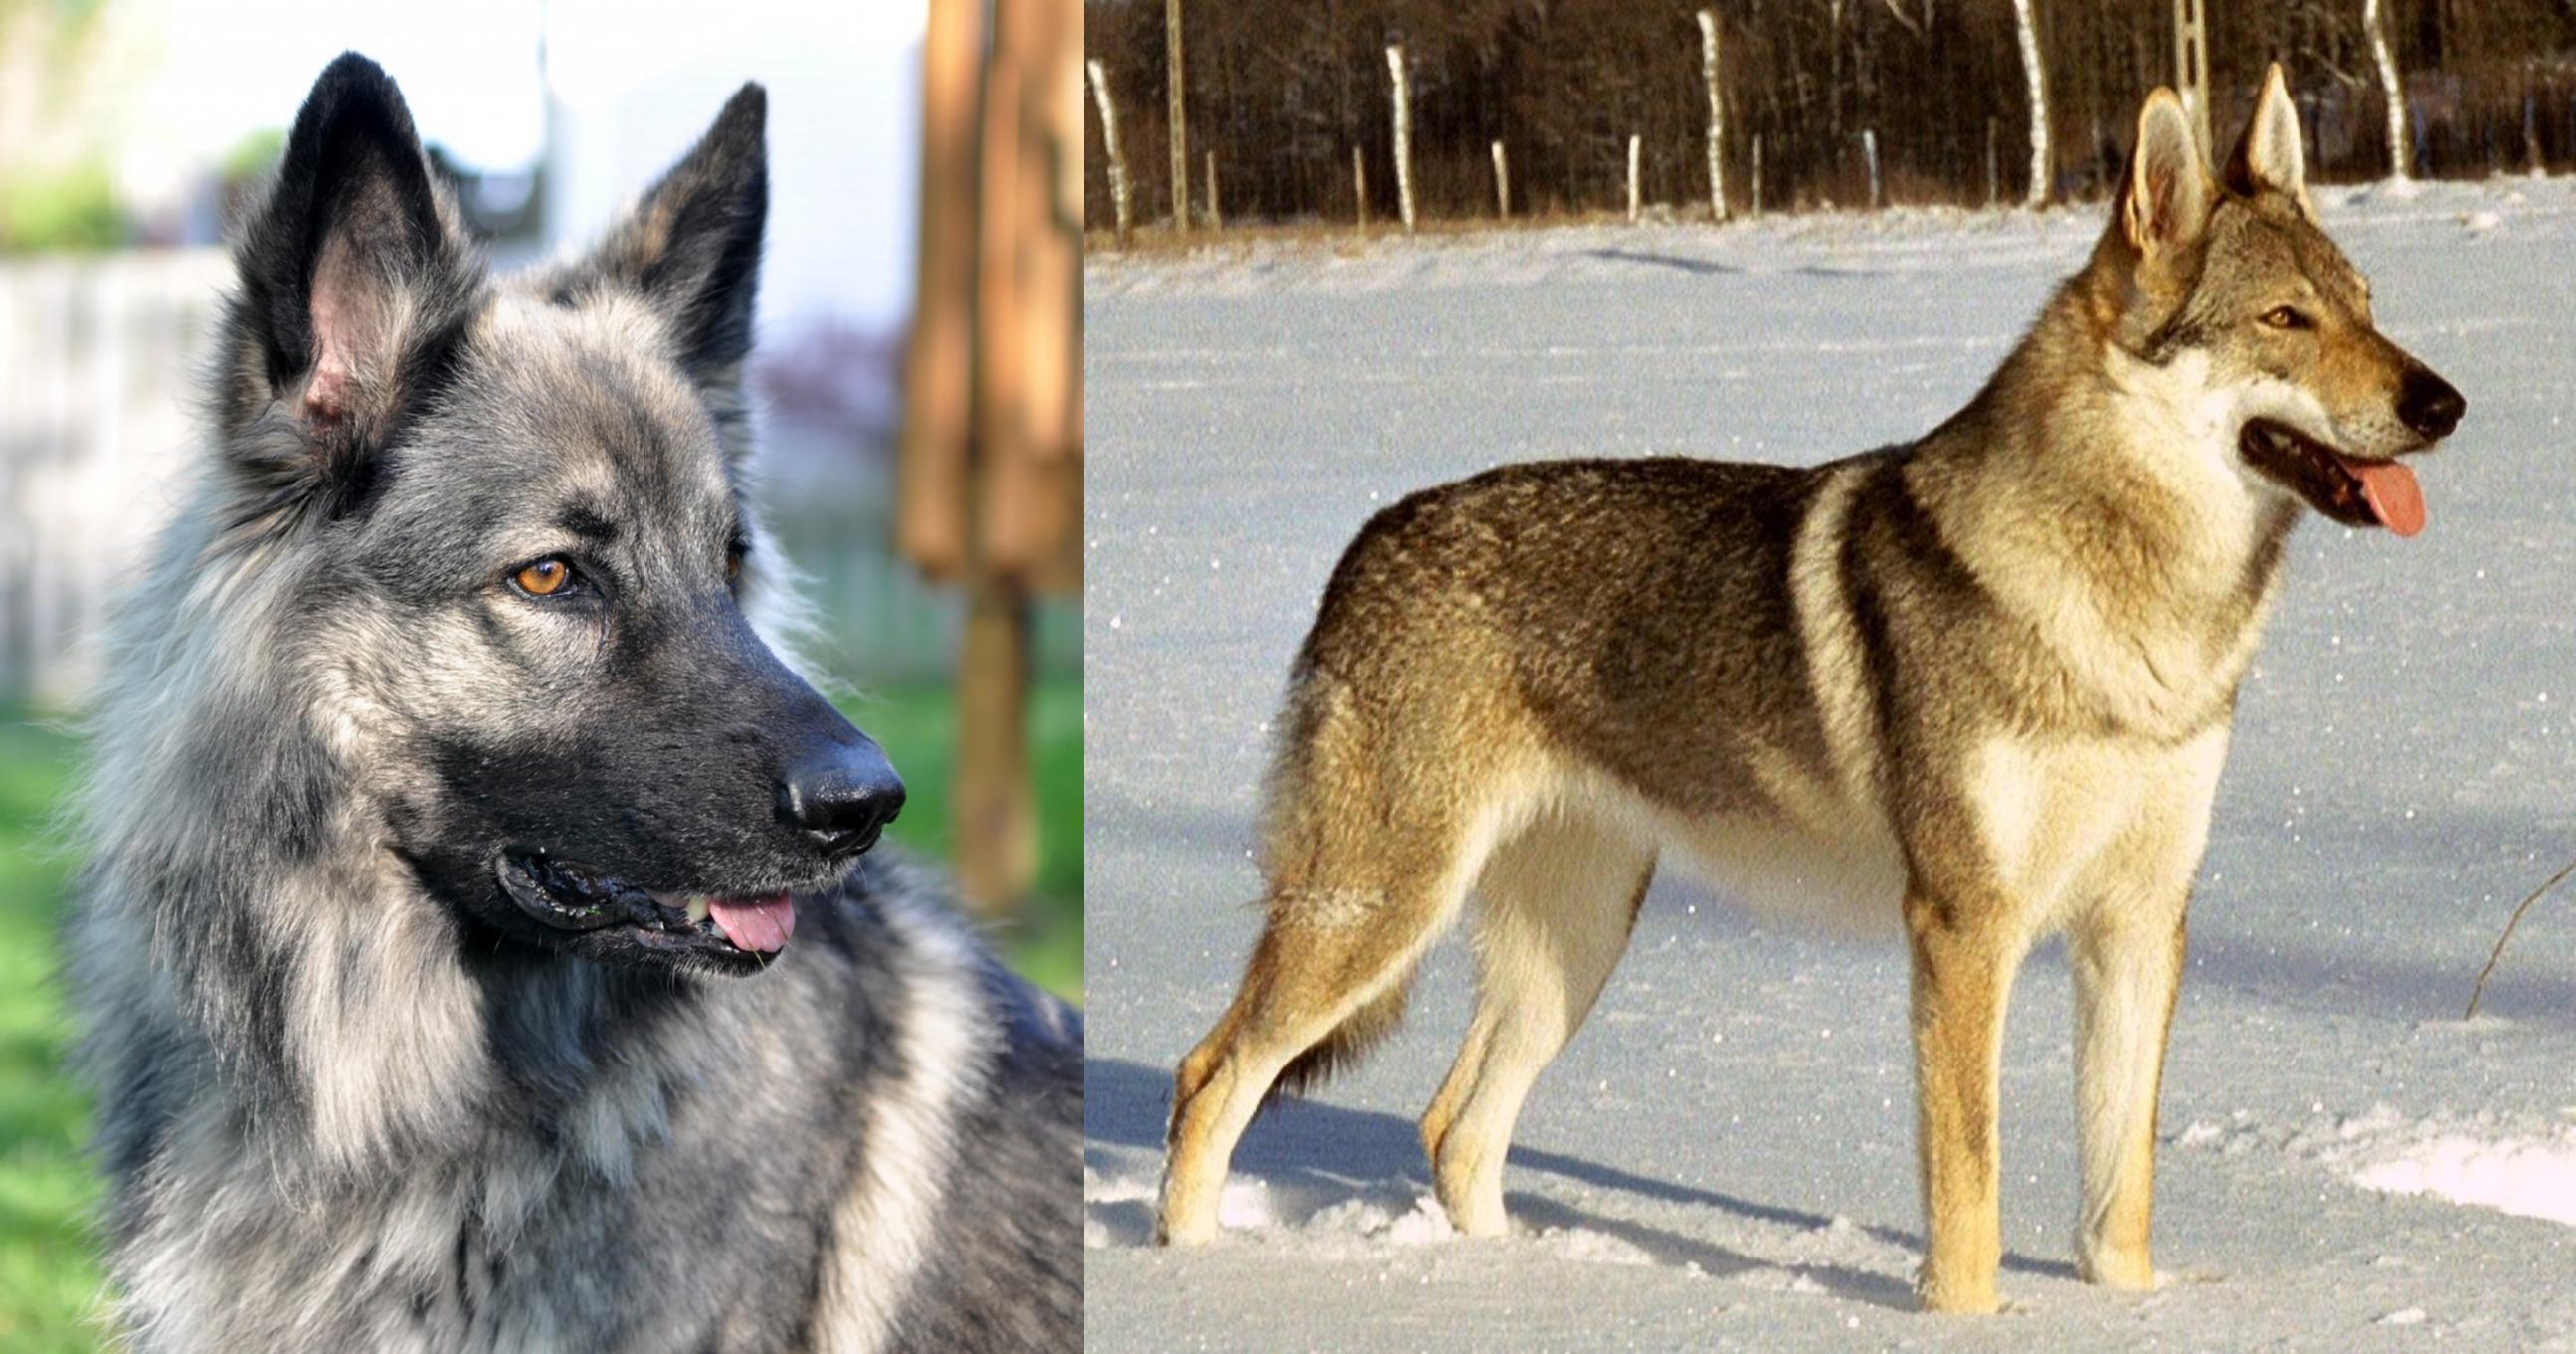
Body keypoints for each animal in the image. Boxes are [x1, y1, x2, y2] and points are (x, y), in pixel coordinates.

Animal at [1156, 67, 2464, 1313]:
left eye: (2366, 303)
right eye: (2285, 318)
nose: (2442, 403)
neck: (2138, 617)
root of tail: (1367, 540)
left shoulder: (2140, 923)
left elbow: (2118, 1188)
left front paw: (2132, 1308)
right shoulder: (1964, 928)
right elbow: (1970, 1190)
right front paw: (1968, 1316)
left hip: (1571, 947)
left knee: (1452, 1126)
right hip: (1379, 914)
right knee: (1211, 1075)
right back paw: (1187, 1271)